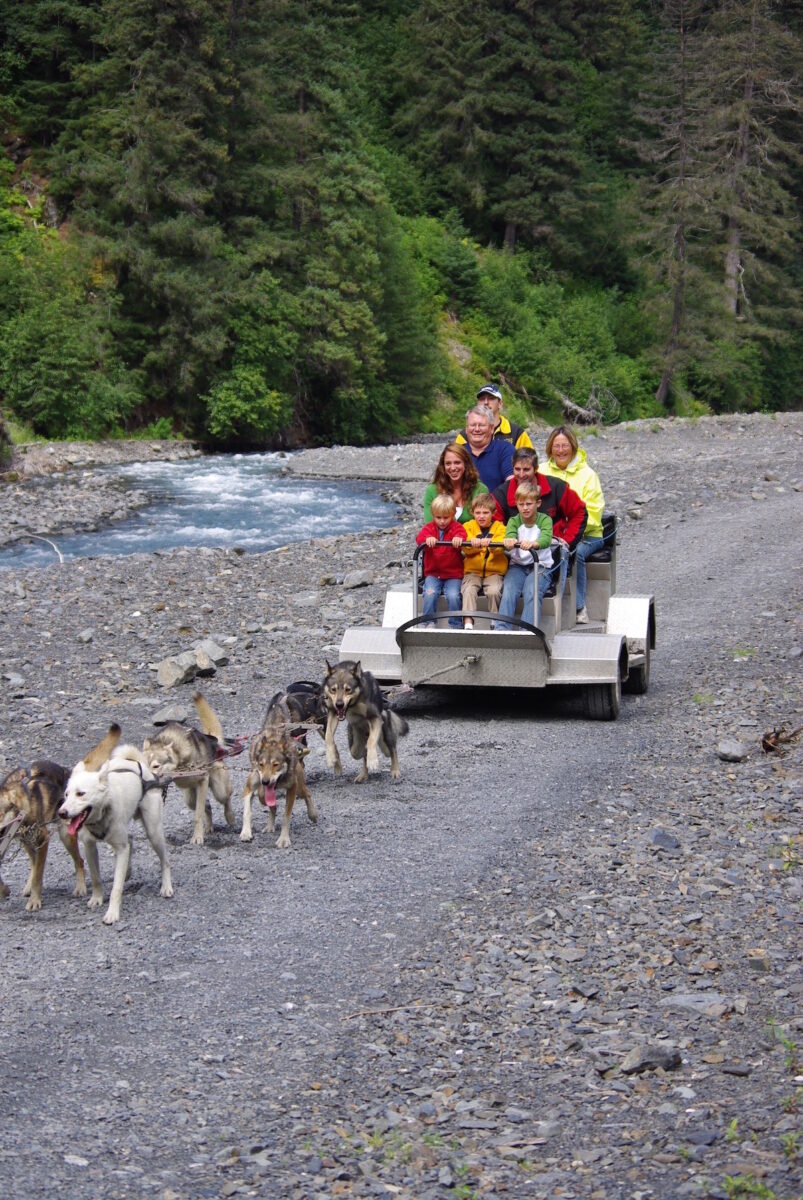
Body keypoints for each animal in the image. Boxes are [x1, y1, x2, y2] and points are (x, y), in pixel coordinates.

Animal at [0, 758, 85, 907]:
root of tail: (65, 770)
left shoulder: (42, 838)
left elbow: (37, 877)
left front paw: (34, 901)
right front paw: (4, 890)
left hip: (65, 835)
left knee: (79, 861)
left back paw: (81, 887)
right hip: (26, 841)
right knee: (33, 862)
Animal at [59, 720, 172, 926]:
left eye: (81, 793)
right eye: (66, 794)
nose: (61, 813)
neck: (102, 813)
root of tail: (137, 763)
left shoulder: (120, 848)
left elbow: (116, 888)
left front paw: (112, 913)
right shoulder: (89, 846)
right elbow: (96, 877)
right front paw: (97, 898)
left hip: (153, 832)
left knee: (165, 861)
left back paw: (166, 886)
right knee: (131, 841)